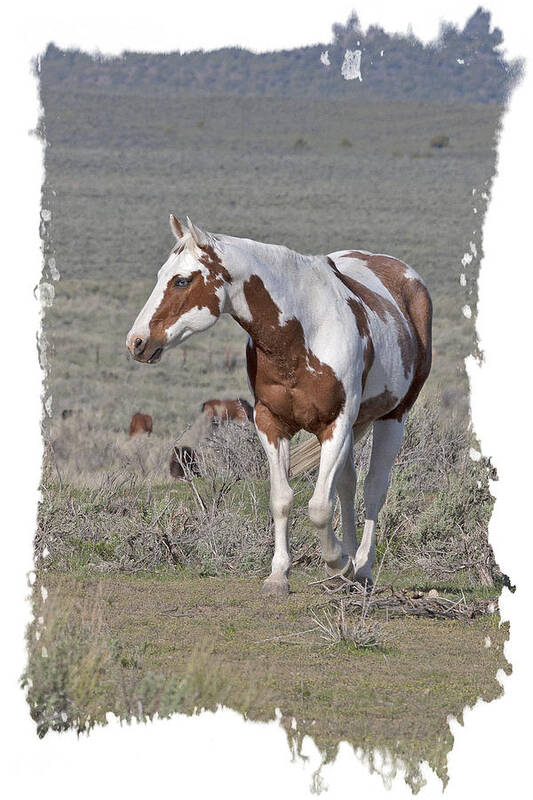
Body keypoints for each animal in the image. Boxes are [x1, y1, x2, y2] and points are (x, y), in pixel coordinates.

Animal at [127, 216, 430, 596]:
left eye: (182, 280)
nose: (136, 342)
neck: (301, 334)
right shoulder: (271, 424)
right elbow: (282, 498)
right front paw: (279, 575)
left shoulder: (335, 424)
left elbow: (319, 506)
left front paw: (337, 561)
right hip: (356, 428)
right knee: (348, 484)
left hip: (392, 418)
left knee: (374, 489)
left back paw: (361, 567)